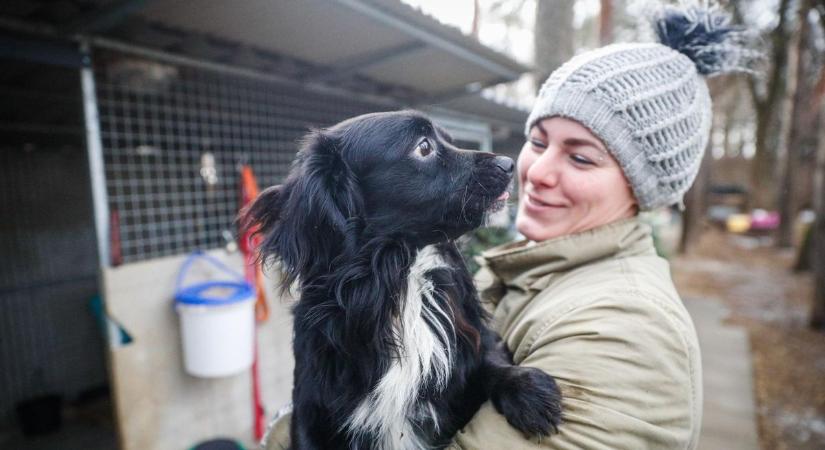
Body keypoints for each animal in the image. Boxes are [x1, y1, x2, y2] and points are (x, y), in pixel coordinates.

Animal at [238, 110, 560, 450]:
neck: (400, 278)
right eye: (424, 147)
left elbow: (490, 361)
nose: (508, 164)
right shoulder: (310, 411)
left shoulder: (469, 343)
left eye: (449, 140)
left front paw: (527, 389)